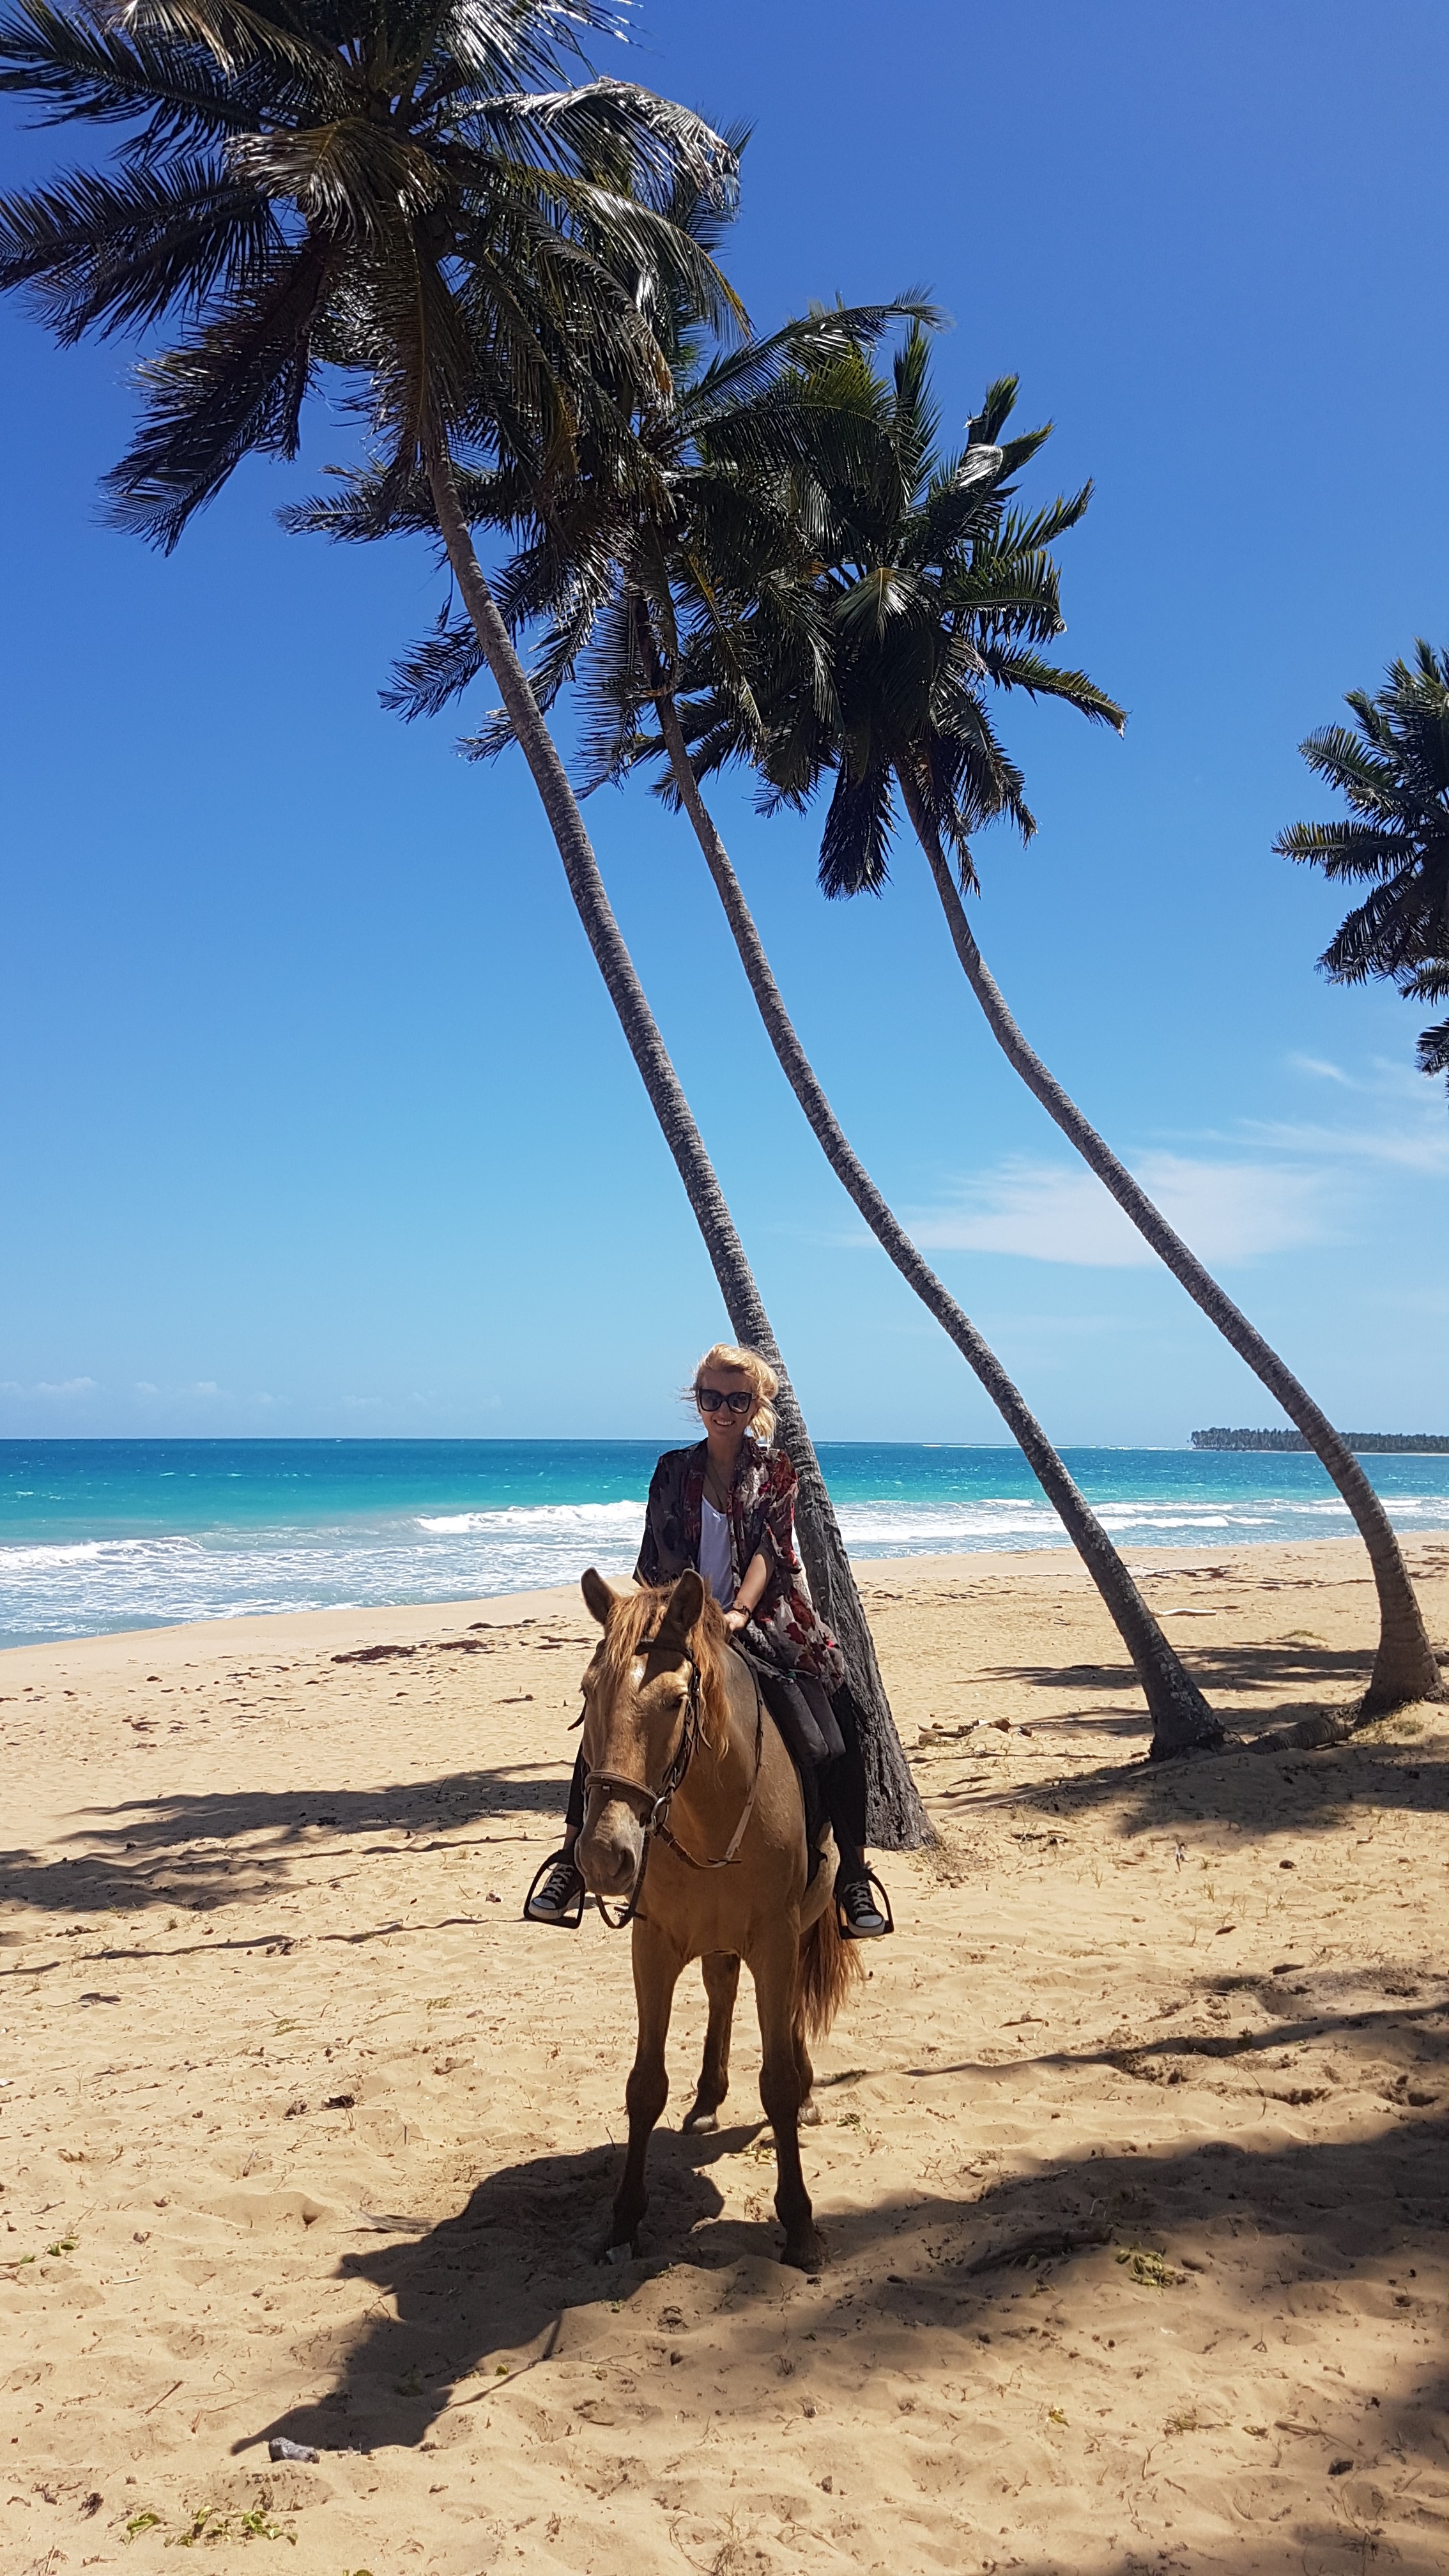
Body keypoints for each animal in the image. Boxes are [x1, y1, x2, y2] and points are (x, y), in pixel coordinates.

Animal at [575, 1565, 861, 2270]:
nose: (603, 1858)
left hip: (799, 1928)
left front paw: (800, 2226)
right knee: (722, 1988)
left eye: (677, 1701)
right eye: (588, 1694)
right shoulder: (652, 1945)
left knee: (786, 2014)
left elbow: (777, 2084)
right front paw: (624, 2221)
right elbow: (644, 2086)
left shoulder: (778, 1941)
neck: (709, 1807)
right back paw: (706, 2102)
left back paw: (807, 2094)